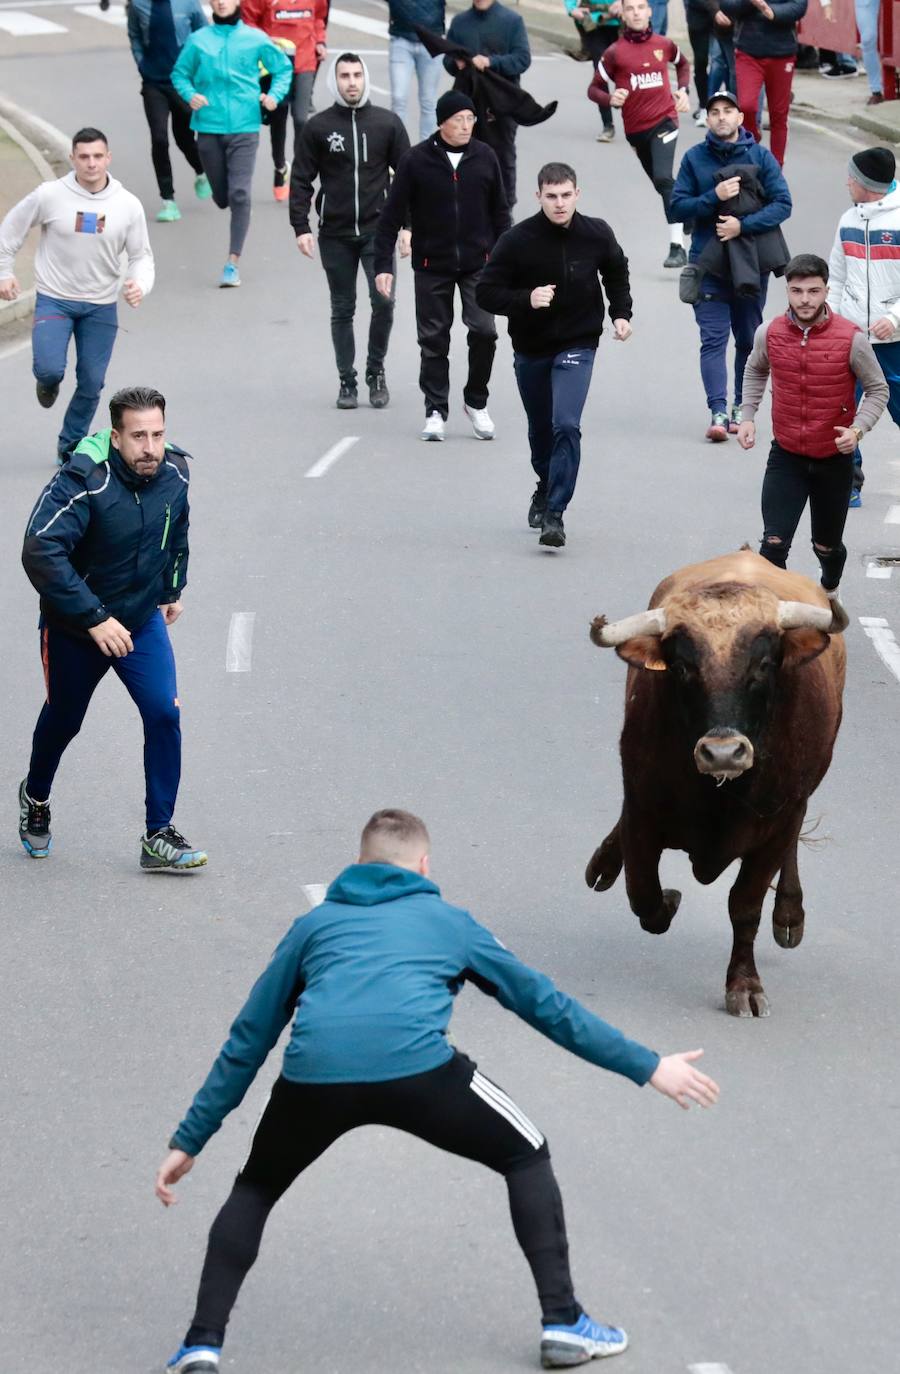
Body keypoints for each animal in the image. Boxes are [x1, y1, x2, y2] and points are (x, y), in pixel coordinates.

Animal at [588, 549, 846, 1022]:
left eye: (764, 665)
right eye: (683, 667)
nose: (723, 753)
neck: (720, 797)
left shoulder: (780, 819)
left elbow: (744, 906)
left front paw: (744, 985)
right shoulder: (641, 807)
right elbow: (644, 896)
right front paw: (667, 898)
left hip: (801, 799)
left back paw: (789, 914)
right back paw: (603, 864)